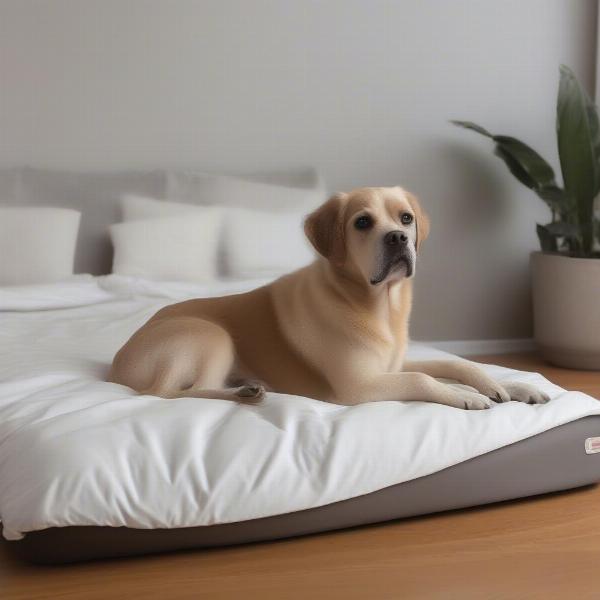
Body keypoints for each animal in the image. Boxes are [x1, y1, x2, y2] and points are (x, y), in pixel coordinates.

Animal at [108, 188, 548, 410]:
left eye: (405, 218)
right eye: (363, 222)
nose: (398, 238)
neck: (377, 305)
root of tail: (116, 363)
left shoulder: (393, 363)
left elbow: (458, 364)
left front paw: (508, 385)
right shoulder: (359, 385)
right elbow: (425, 378)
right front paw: (465, 396)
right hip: (210, 335)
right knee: (167, 393)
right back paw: (247, 393)